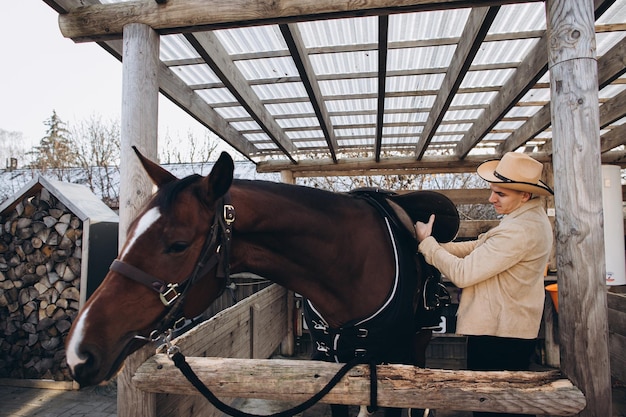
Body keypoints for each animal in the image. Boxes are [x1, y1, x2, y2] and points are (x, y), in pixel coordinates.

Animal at [66, 148, 456, 414]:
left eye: (178, 245)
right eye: (128, 230)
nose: (78, 351)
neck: (352, 262)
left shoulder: (392, 364)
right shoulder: (333, 366)